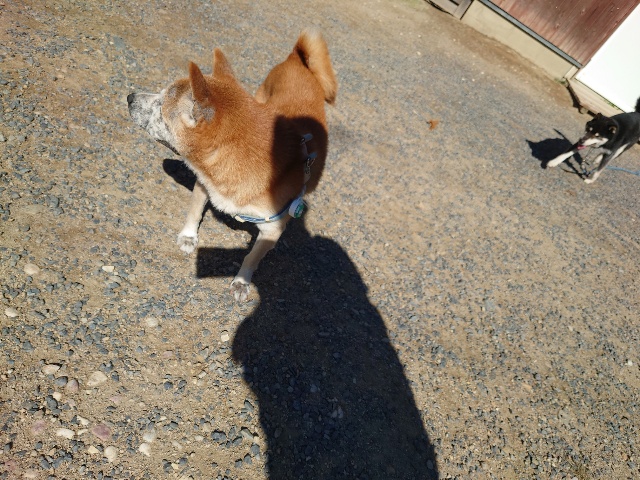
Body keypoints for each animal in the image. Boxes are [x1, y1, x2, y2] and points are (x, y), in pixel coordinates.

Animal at [127, 31, 337, 301]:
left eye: (159, 106)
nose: (129, 96)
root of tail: (297, 61)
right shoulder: (205, 183)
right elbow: (194, 211)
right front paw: (188, 237)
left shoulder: (272, 230)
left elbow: (251, 257)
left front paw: (241, 282)